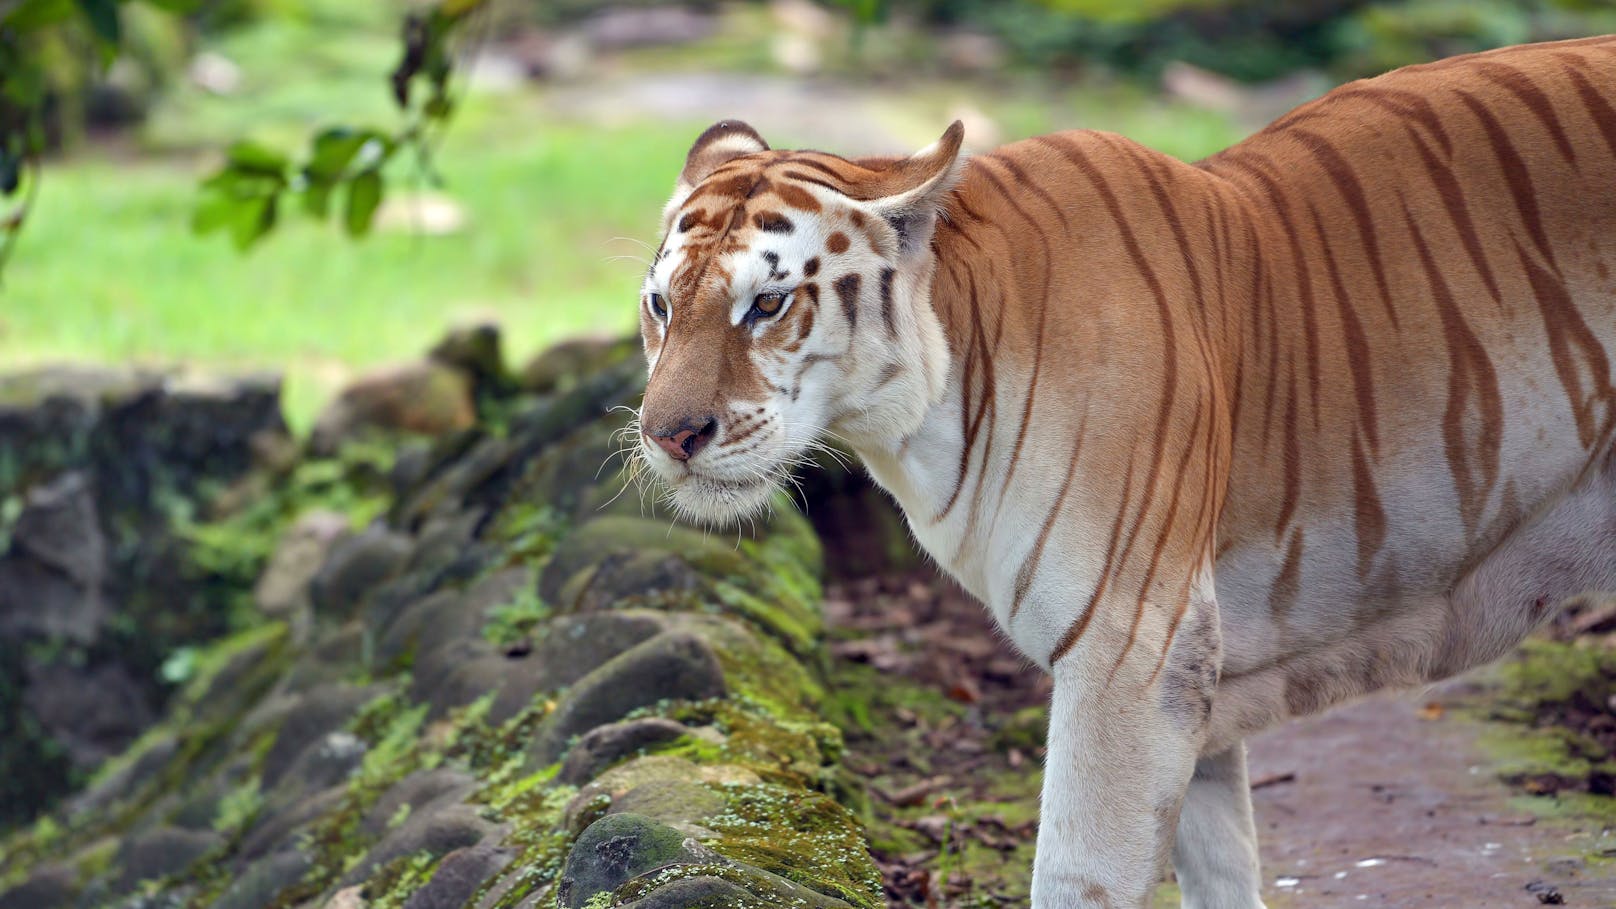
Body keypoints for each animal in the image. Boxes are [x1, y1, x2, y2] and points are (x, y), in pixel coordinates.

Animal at [627, 35, 1616, 905]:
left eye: (768, 304)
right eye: (662, 305)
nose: (668, 435)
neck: (928, 409)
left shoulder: (1133, 643)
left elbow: (1080, 873)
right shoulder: (1194, 679)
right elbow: (1221, 863)